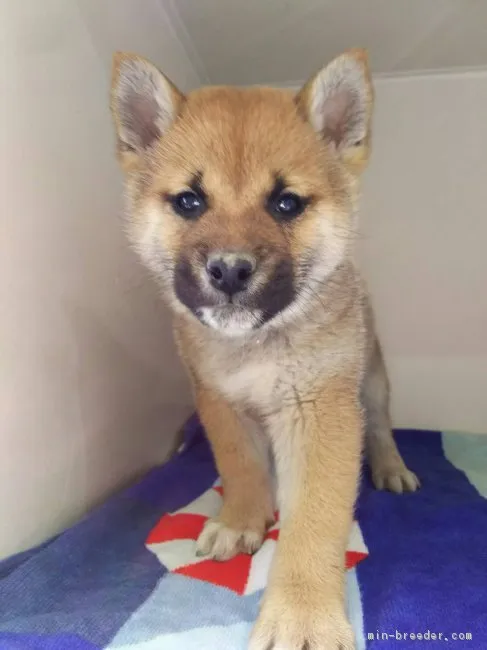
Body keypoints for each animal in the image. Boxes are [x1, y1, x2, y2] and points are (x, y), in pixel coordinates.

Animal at [110, 49, 420, 648]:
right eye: (189, 201)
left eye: (286, 203)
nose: (230, 270)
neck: (254, 345)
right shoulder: (219, 403)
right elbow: (241, 467)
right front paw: (241, 520)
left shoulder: (321, 412)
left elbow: (315, 523)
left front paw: (302, 613)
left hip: (371, 383)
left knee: (380, 426)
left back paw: (391, 467)